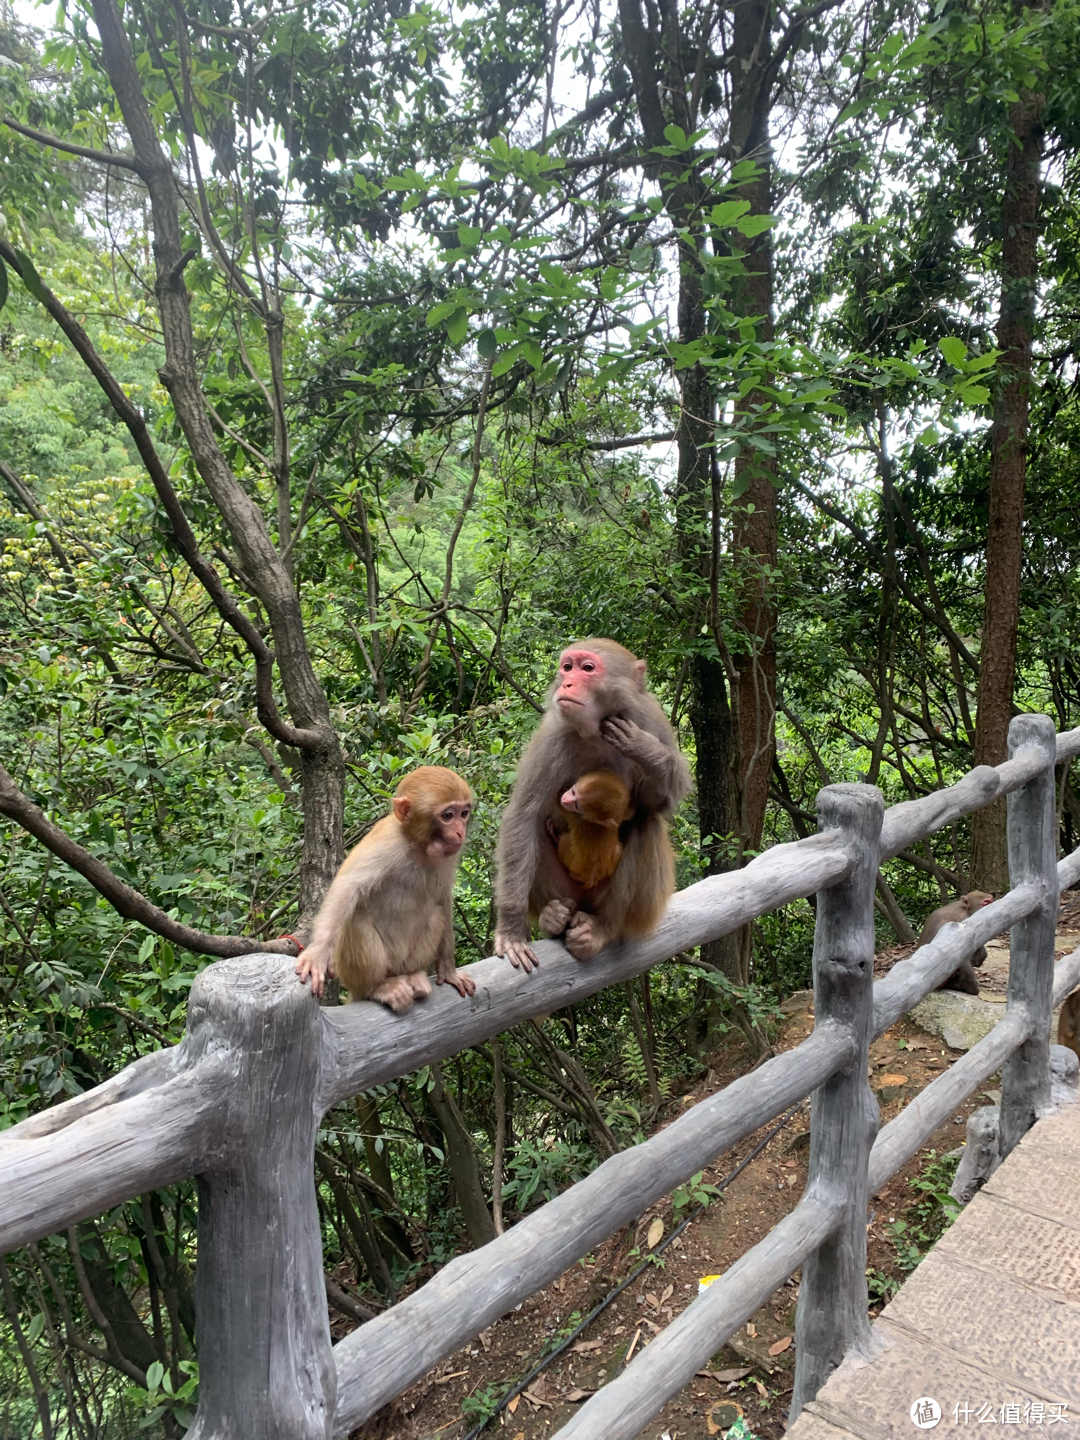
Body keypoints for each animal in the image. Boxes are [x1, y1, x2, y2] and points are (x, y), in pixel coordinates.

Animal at [298, 766, 480, 1013]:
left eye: (464, 813)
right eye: (447, 816)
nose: (460, 832)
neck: (417, 846)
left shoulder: (448, 857)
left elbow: (443, 899)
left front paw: (449, 971)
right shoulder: (387, 844)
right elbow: (347, 887)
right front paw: (317, 952)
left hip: (404, 961)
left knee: (436, 914)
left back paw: (413, 976)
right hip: (359, 970)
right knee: (356, 918)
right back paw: (376, 988)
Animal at [495, 639, 688, 967]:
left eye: (587, 668)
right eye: (567, 667)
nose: (567, 683)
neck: (597, 729)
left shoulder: (653, 722)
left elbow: (659, 804)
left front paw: (646, 750)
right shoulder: (552, 737)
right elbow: (524, 817)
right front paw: (511, 929)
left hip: (630, 909)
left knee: (646, 823)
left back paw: (604, 928)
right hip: (568, 891)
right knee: (536, 829)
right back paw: (552, 917)